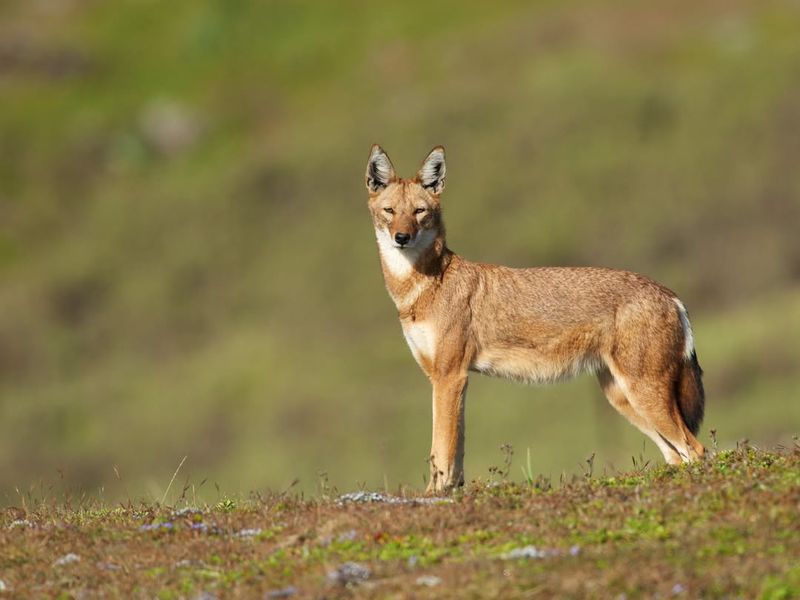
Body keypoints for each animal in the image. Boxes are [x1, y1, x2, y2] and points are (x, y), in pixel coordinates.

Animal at [366, 144, 704, 492]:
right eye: (390, 211)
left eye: (419, 212)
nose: (402, 237)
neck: (422, 287)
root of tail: (671, 295)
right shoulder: (447, 379)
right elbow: (453, 451)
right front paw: (450, 492)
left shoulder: (450, 377)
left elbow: (441, 450)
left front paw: (436, 495)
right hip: (623, 399)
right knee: (676, 455)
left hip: (643, 395)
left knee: (696, 449)